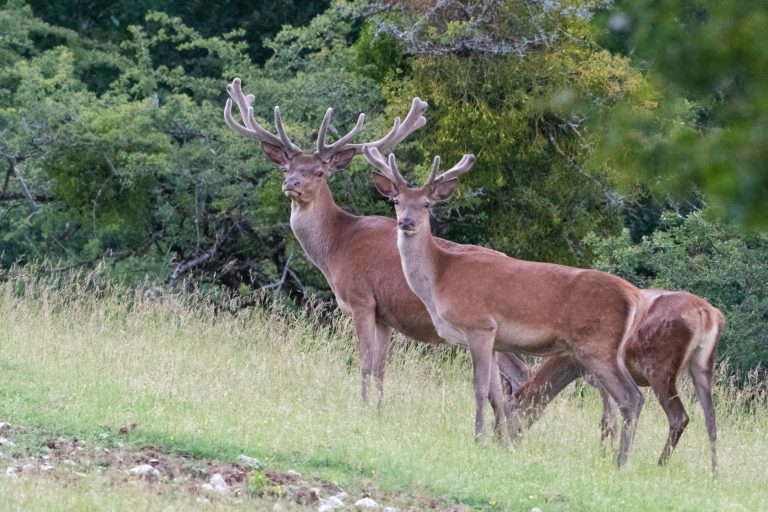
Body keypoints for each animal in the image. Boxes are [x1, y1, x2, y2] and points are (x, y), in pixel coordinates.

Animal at [219, 79, 524, 424]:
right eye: (286, 167)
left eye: (320, 172)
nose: (292, 184)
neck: (336, 247)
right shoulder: (385, 315)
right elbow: (380, 365)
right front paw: (378, 408)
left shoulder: (361, 299)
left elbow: (364, 360)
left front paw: (362, 406)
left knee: (520, 374)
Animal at [364, 148, 648, 468]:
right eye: (397, 201)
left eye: (427, 204)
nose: (406, 223)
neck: (440, 279)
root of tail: (635, 297)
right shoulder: (495, 340)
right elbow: (496, 394)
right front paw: (504, 443)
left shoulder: (479, 325)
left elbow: (478, 387)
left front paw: (478, 438)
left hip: (597, 346)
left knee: (631, 397)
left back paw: (622, 462)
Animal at [508, 288, 724, 472]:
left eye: (510, 411)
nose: (508, 440)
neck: (571, 363)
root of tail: (708, 315)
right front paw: (609, 453)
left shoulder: (598, 373)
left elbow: (608, 420)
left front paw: (606, 456)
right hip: (702, 367)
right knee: (711, 419)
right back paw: (714, 473)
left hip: (659, 368)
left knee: (679, 416)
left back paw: (660, 464)